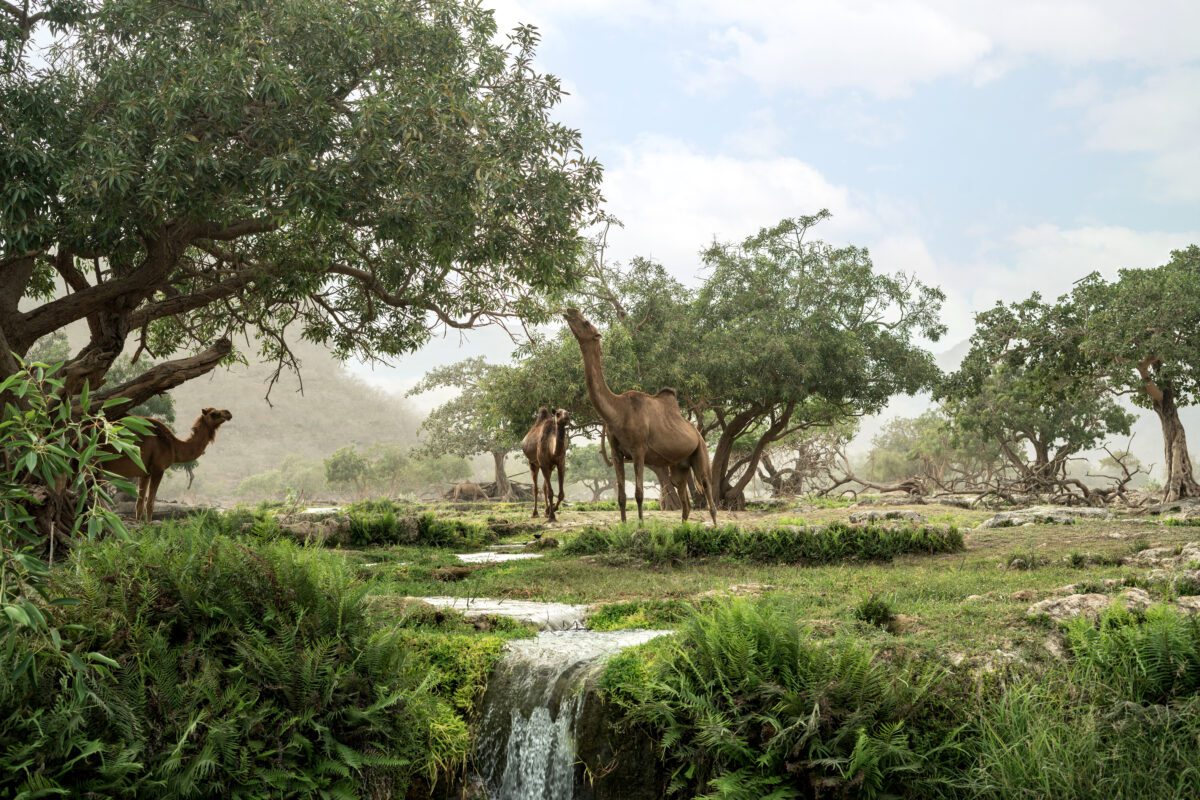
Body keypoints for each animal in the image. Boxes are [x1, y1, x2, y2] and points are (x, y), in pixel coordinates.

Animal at [563, 308, 717, 525]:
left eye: (586, 323)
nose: (571, 310)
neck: (617, 412)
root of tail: (697, 433)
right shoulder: (616, 452)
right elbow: (621, 495)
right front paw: (623, 525)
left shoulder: (639, 450)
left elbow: (639, 493)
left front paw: (641, 525)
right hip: (679, 465)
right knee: (684, 499)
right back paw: (684, 526)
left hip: (700, 451)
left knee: (707, 486)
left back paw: (715, 525)